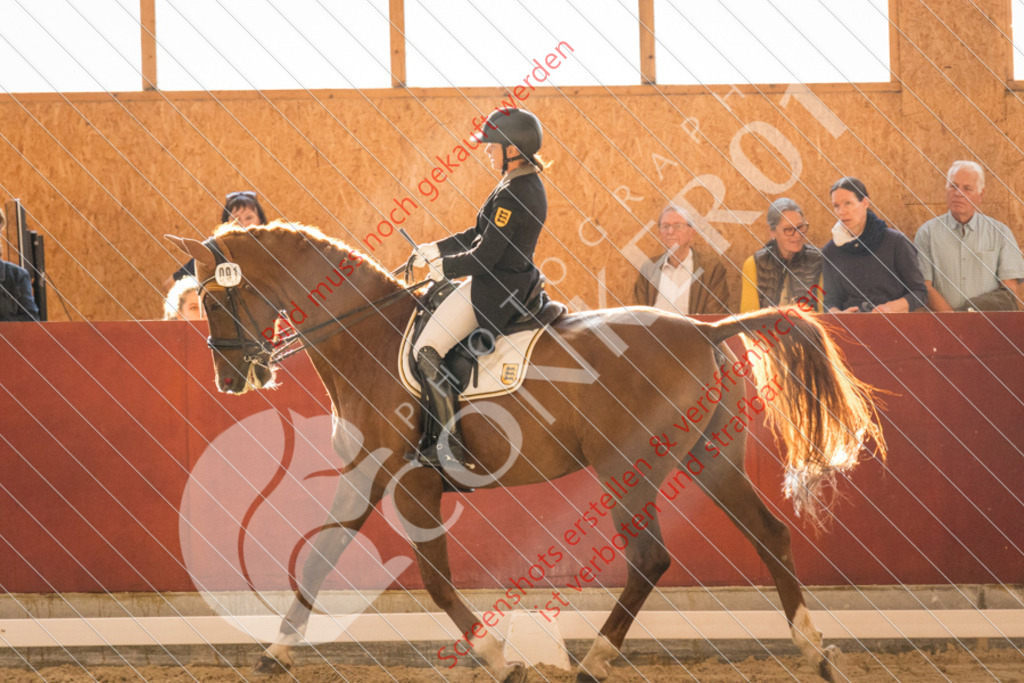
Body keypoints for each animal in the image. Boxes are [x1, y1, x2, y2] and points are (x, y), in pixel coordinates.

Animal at [169, 222, 888, 679]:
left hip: (629, 468)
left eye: (213, 297)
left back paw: (594, 662)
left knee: (650, 558)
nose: (230, 379)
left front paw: (496, 657)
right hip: (711, 458)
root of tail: (705, 329)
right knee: (769, 533)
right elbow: (319, 559)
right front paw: (276, 652)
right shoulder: (366, 476)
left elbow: (434, 580)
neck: (367, 336)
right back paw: (815, 652)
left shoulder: (409, 482)